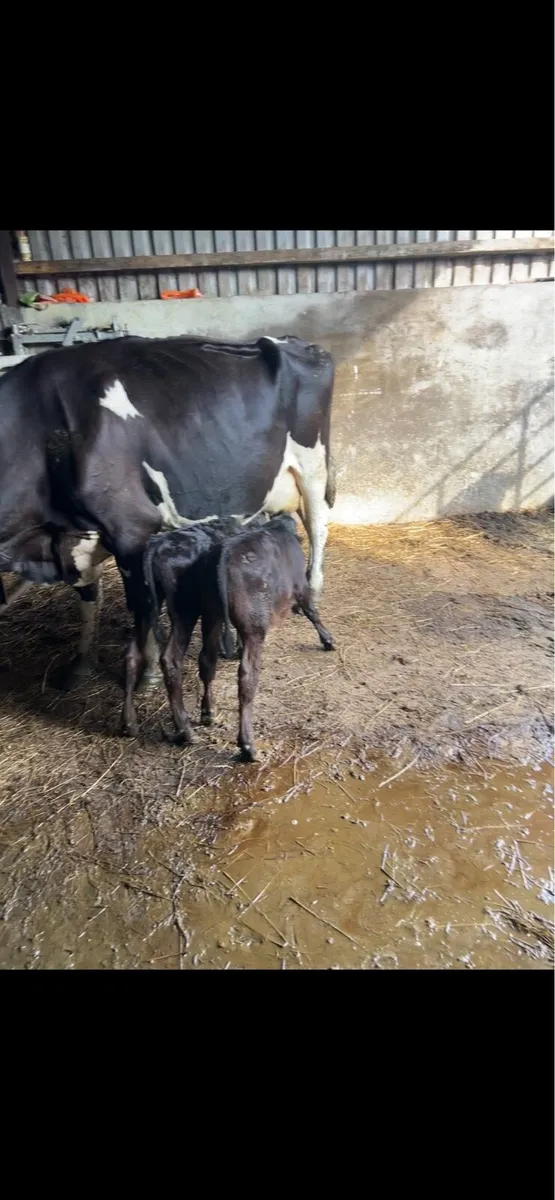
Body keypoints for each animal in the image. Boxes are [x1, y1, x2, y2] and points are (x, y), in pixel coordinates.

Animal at [0, 333, 336, 721]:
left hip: (312, 469)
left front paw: (147, 674)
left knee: (318, 532)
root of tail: (294, 341)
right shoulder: (76, 540)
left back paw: (311, 601)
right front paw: (80, 665)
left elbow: (141, 605)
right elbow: (87, 598)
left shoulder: (130, 528)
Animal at [144, 512, 335, 761]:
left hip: (189, 612)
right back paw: (247, 746)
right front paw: (327, 639)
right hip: (248, 626)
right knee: (246, 675)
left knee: (190, 659)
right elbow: (312, 610)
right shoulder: (300, 585)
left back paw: (194, 723)